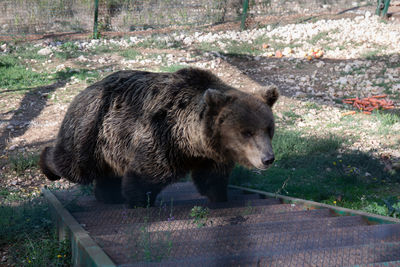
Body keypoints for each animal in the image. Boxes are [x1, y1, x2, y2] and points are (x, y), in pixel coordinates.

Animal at [39, 68, 278, 208]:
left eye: (268, 128)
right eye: (246, 132)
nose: (268, 158)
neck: (193, 141)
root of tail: (84, 91)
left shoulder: (212, 155)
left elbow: (211, 178)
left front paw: (220, 197)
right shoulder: (162, 137)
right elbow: (147, 172)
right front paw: (139, 200)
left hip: (110, 143)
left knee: (107, 172)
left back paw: (109, 195)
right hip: (92, 129)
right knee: (75, 165)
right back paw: (47, 164)